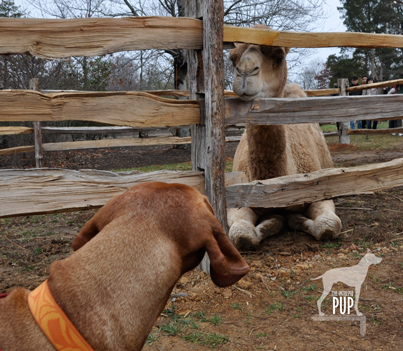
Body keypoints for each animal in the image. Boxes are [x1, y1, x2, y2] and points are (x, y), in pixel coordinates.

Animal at [227, 28, 340, 250]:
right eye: (232, 59)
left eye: (278, 58)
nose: (245, 72)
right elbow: (241, 235)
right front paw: (275, 219)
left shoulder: (319, 188)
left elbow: (329, 226)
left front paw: (294, 218)